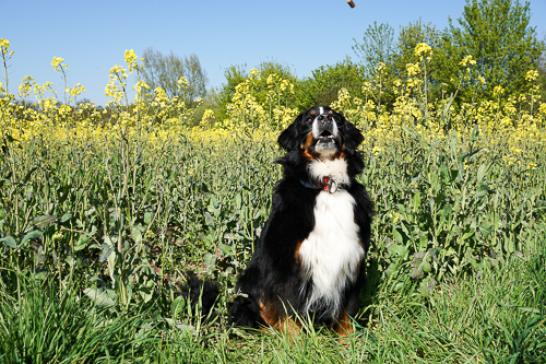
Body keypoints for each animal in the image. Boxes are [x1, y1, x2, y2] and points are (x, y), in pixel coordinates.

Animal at [227, 106, 372, 336]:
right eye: (308, 119)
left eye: (336, 117)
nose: (325, 118)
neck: (326, 186)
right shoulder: (286, 265)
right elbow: (287, 311)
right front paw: (295, 341)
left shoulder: (352, 259)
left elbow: (346, 312)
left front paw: (349, 340)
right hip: (248, 286)